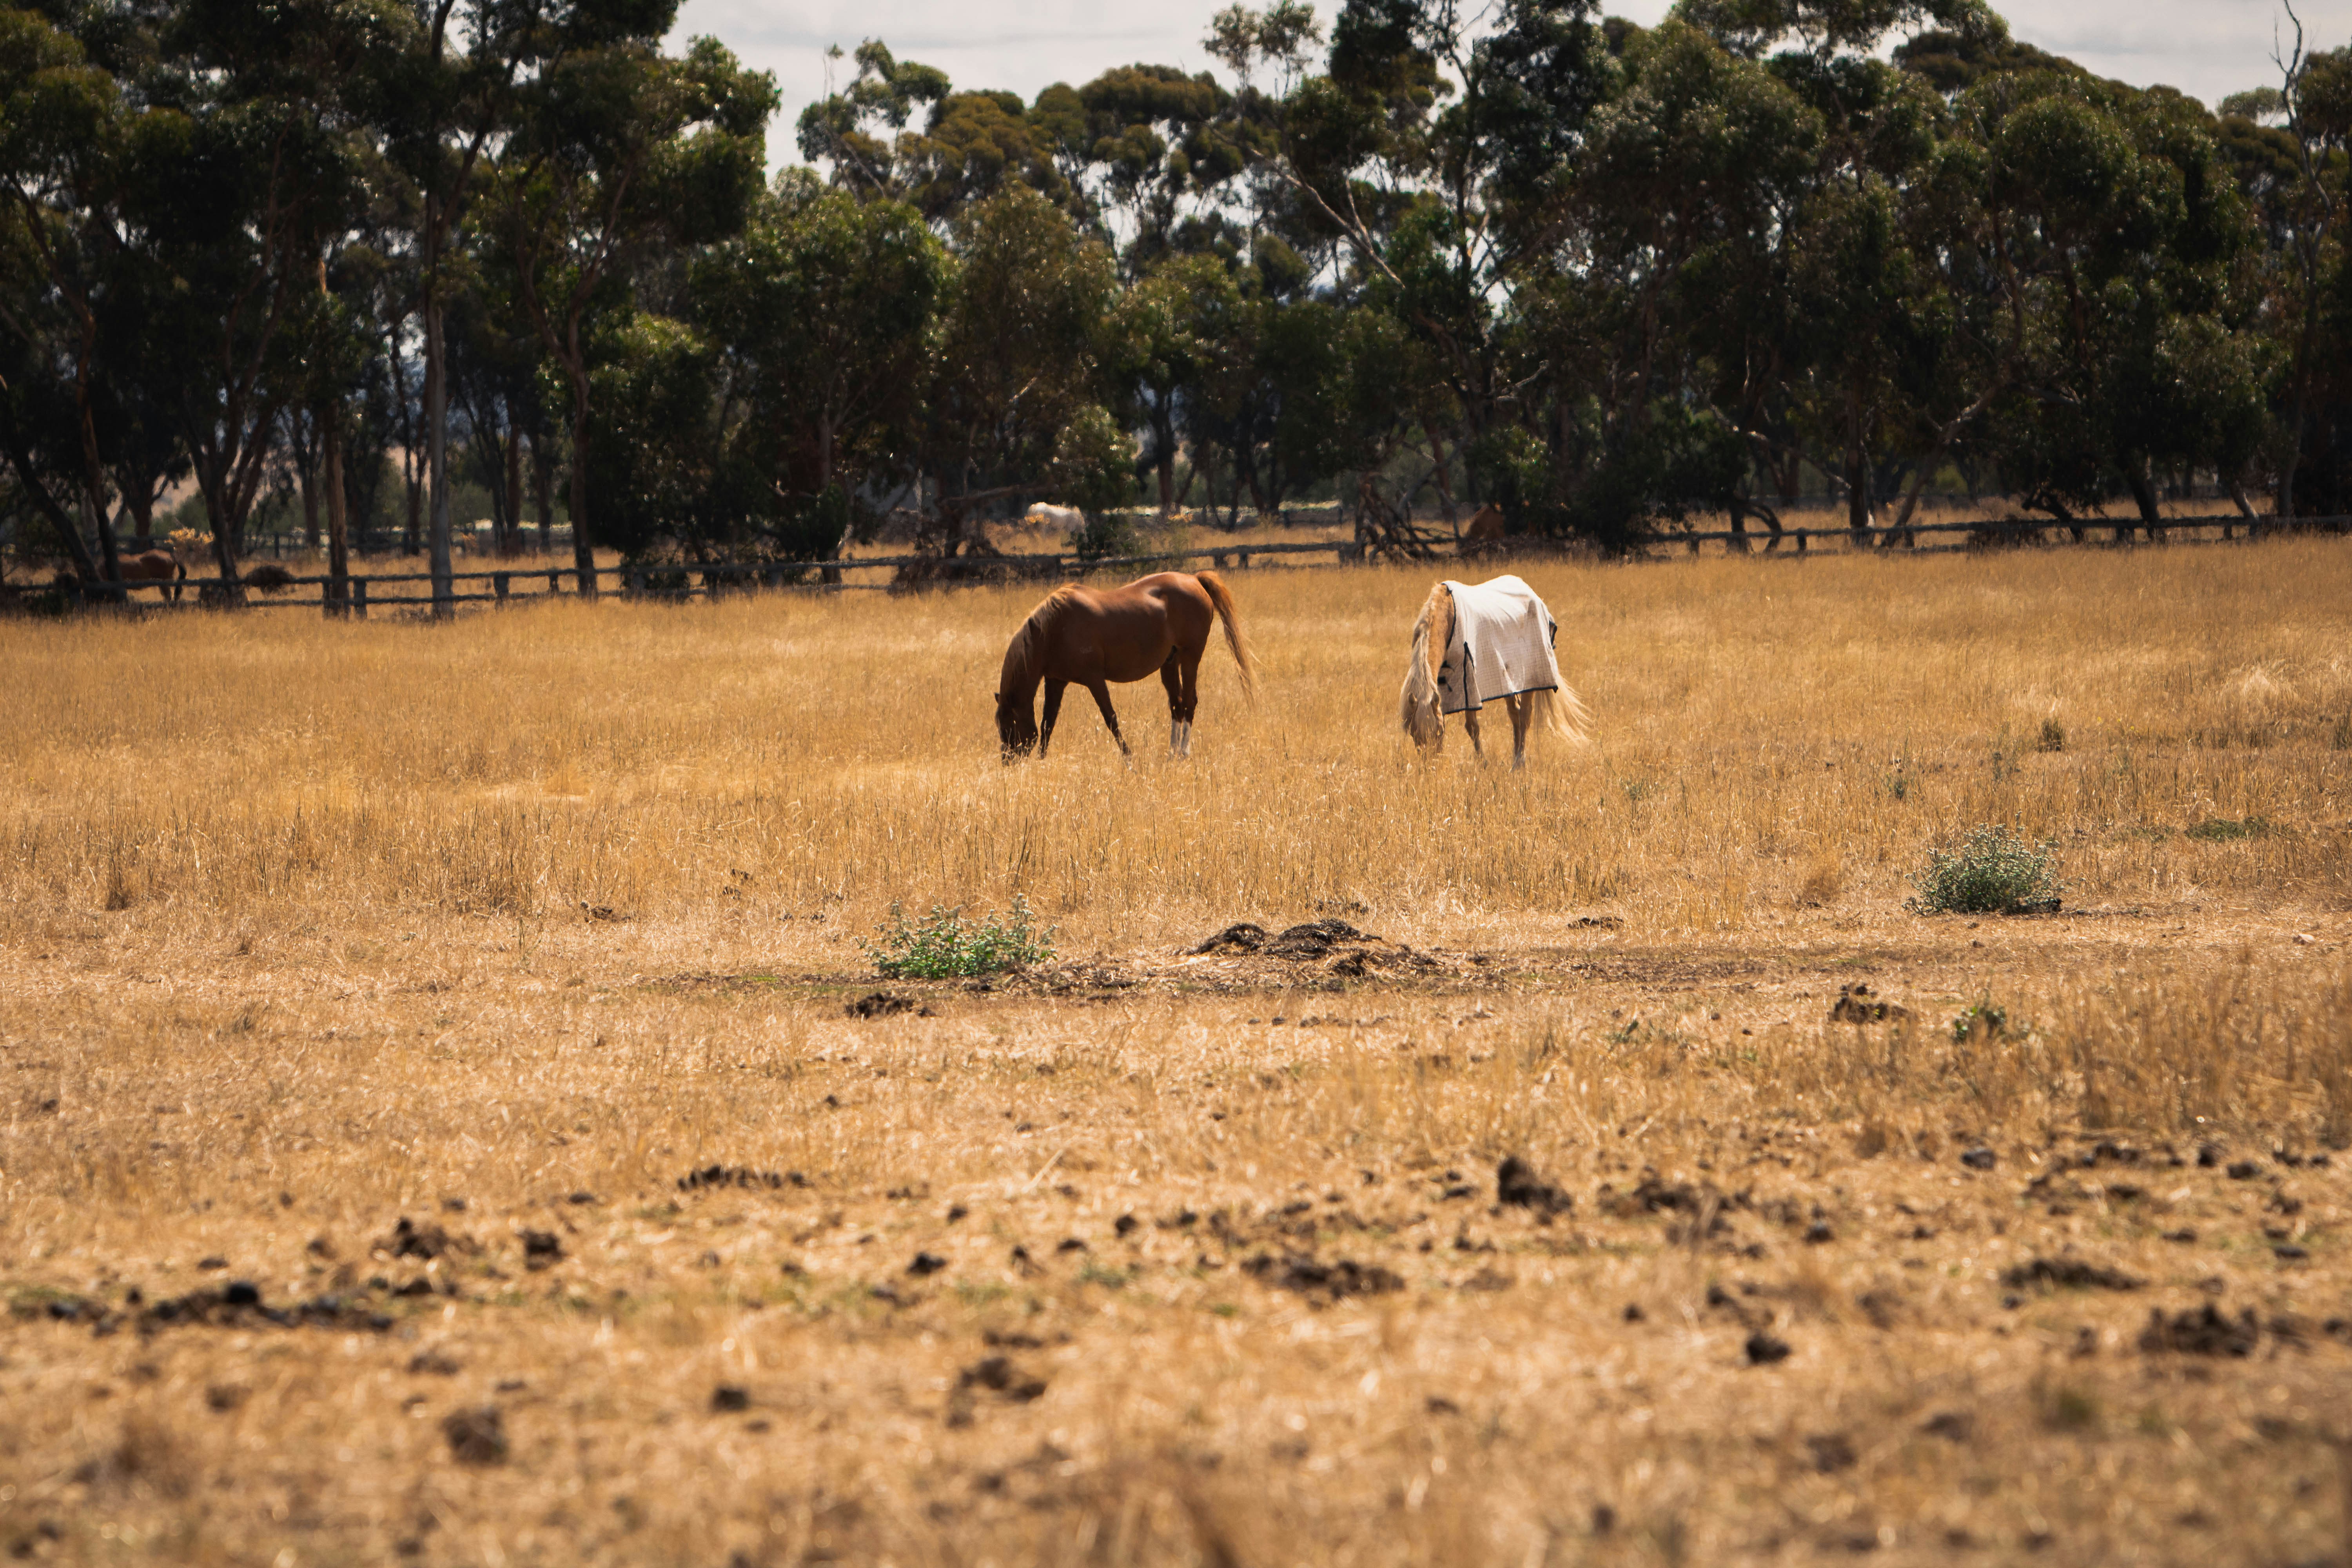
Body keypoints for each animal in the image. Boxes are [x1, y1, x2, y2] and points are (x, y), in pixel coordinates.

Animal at [996, 571, 1254, 760]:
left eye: (1009, 726)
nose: (1008, 760)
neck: (1054, 629)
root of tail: (1194, 579)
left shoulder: (1094, 680)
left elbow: (1110, 718)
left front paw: (1129, 758)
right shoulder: (1056, 681)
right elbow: (1048, 723)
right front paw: (1042, 760)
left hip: (1191, 657)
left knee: (1190, 702)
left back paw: (1183, 753)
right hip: (1170, 663)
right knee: (1177, 705)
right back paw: (1171, 754)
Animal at [1398, 576, 1590, 767]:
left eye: (1439, 731)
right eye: (1414, 732)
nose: (1431, 765)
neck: (1449, 617)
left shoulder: (1468, 683)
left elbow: (1472, 726)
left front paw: (1482, 762)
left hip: (1530, 680)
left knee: (1525, 716)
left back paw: (1519, 763)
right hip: (1508, 682)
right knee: (1515, 713)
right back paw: (1516, 756)